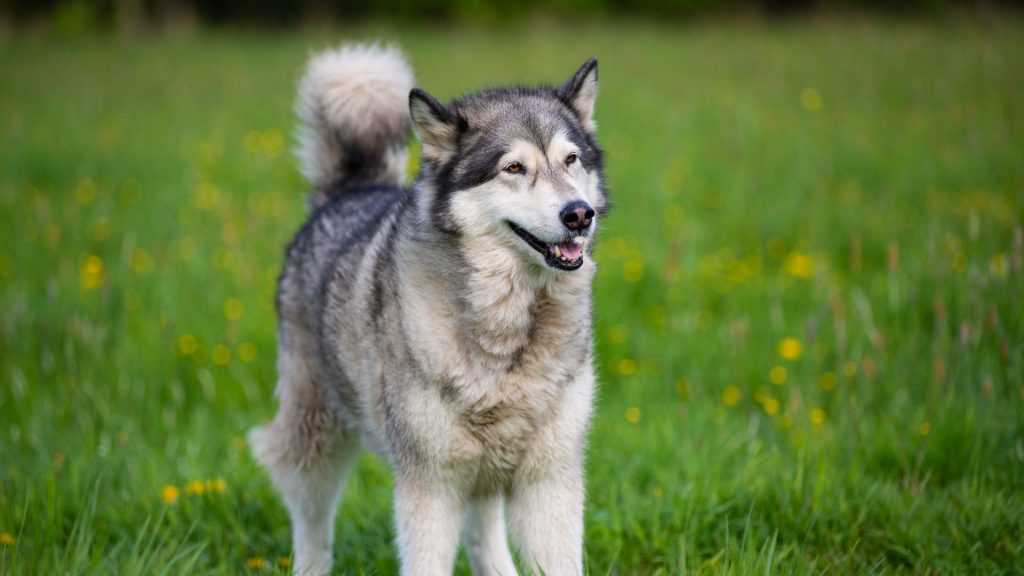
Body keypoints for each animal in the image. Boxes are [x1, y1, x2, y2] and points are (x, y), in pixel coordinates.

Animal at [249, 41, 606, 573]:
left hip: (485, 469)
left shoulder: (549, 479)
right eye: (513, 168)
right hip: (317, 433)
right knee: (311, 520)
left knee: (483, 536)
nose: (579, 214)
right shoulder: (430, 484)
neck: (509, 326)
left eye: (572, 159)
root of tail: (352, 190)